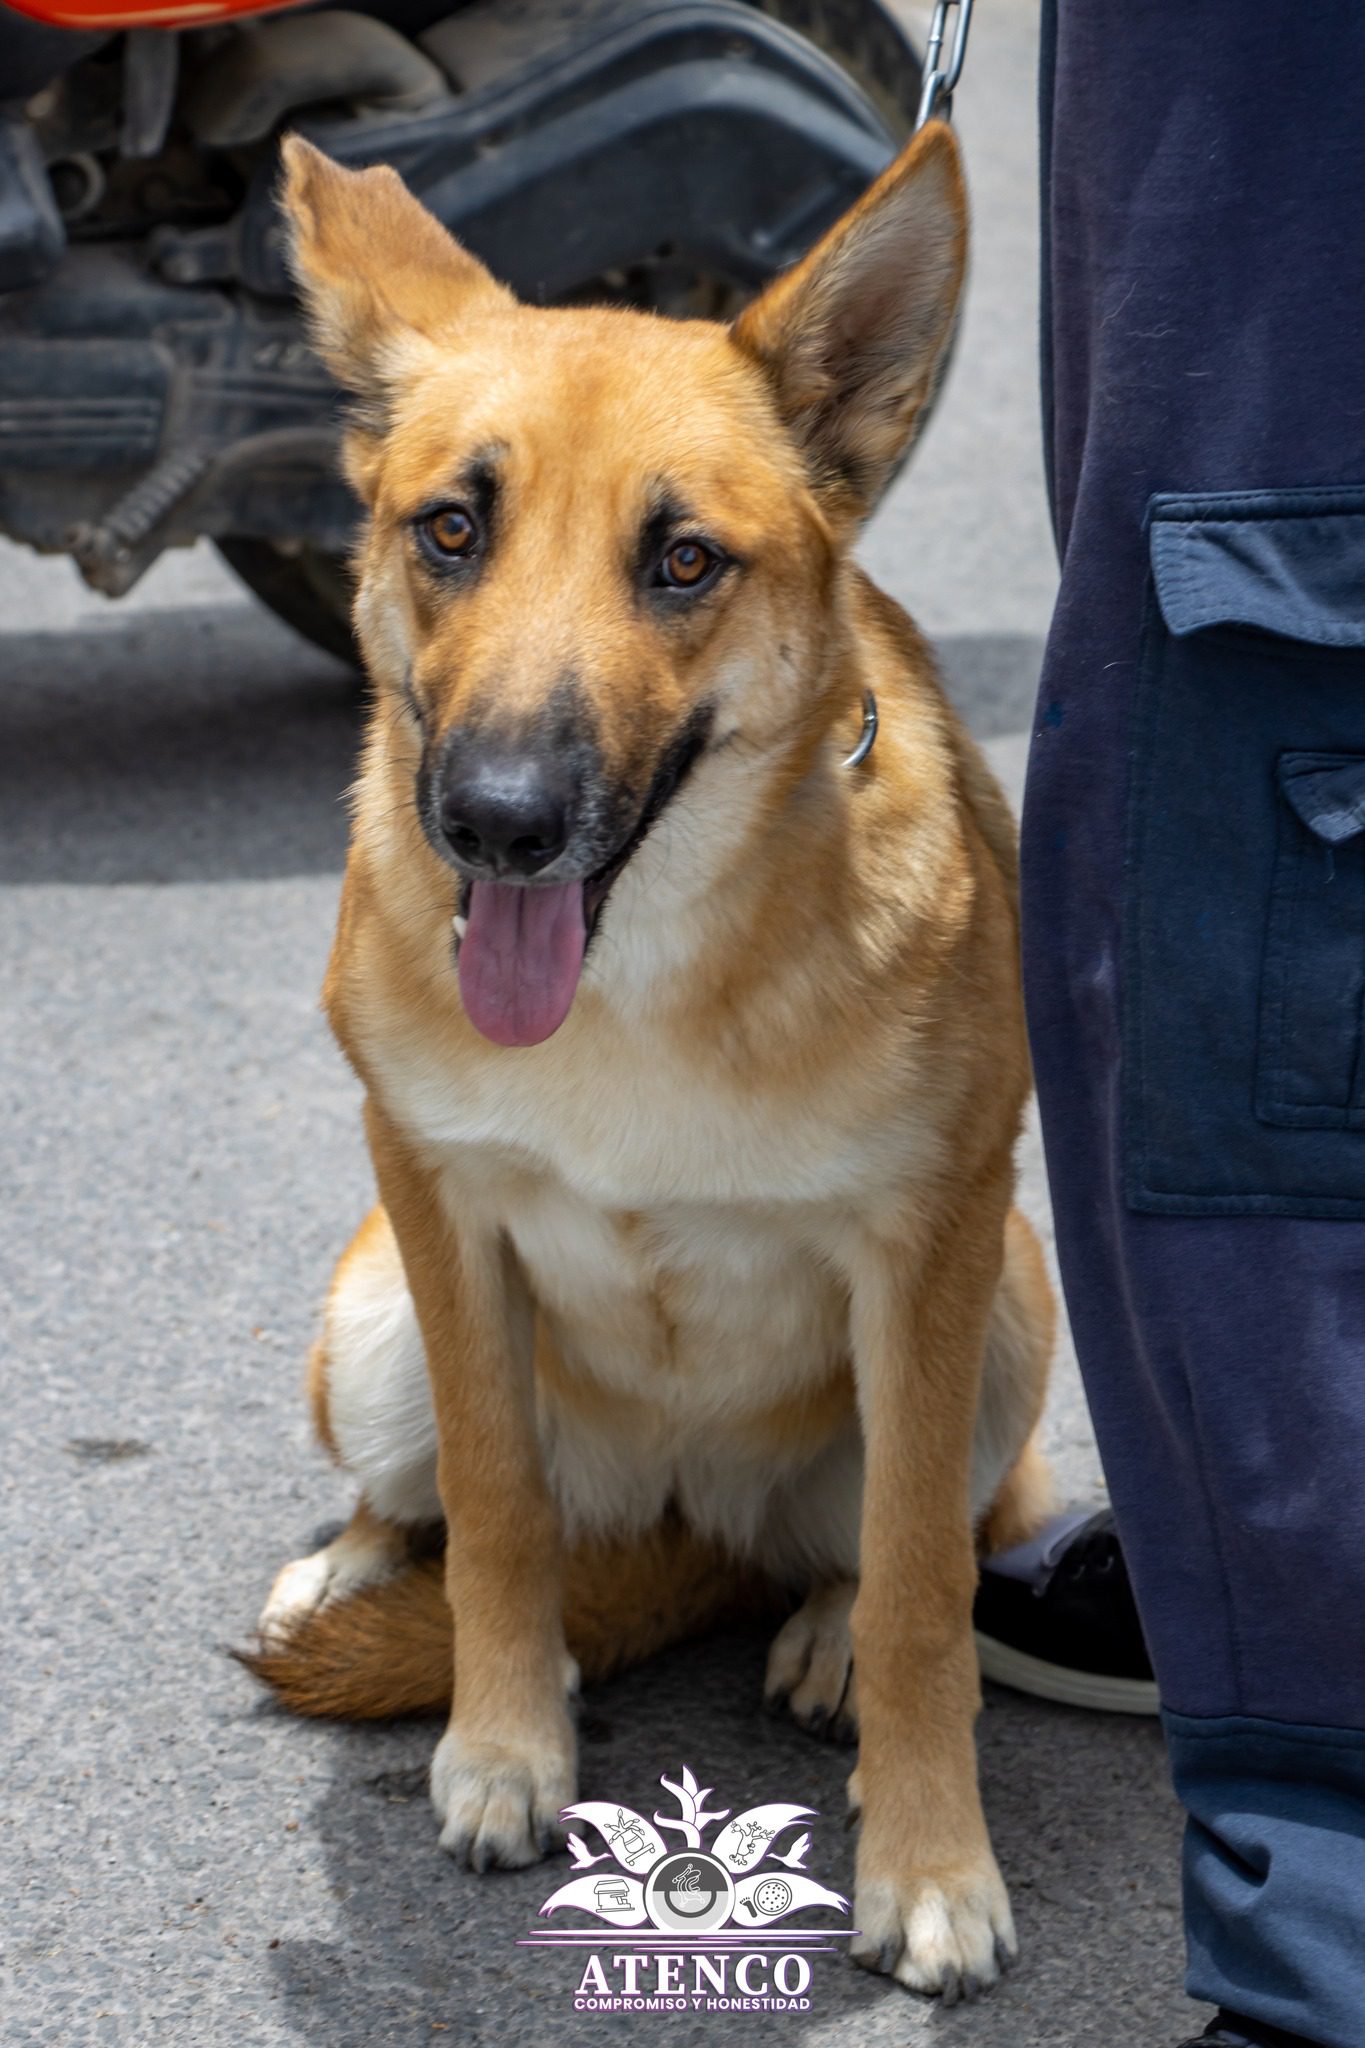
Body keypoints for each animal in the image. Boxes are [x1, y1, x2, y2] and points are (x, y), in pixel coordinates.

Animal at [245, 123, 1055, 1998]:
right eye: (450, 527)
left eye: (683, 560)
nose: (495, 823)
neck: (637, 982)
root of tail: (689, 1518)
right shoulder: (440, 1205)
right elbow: (496, 1502)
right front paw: (502, 1738)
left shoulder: (930, 1245)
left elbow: (923, 1579)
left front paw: (929, 1859)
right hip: (371, 1311)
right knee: (439, 1497)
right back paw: (354, 1570)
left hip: (1004, 1308)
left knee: (912, 1543)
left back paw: (821, 1629)